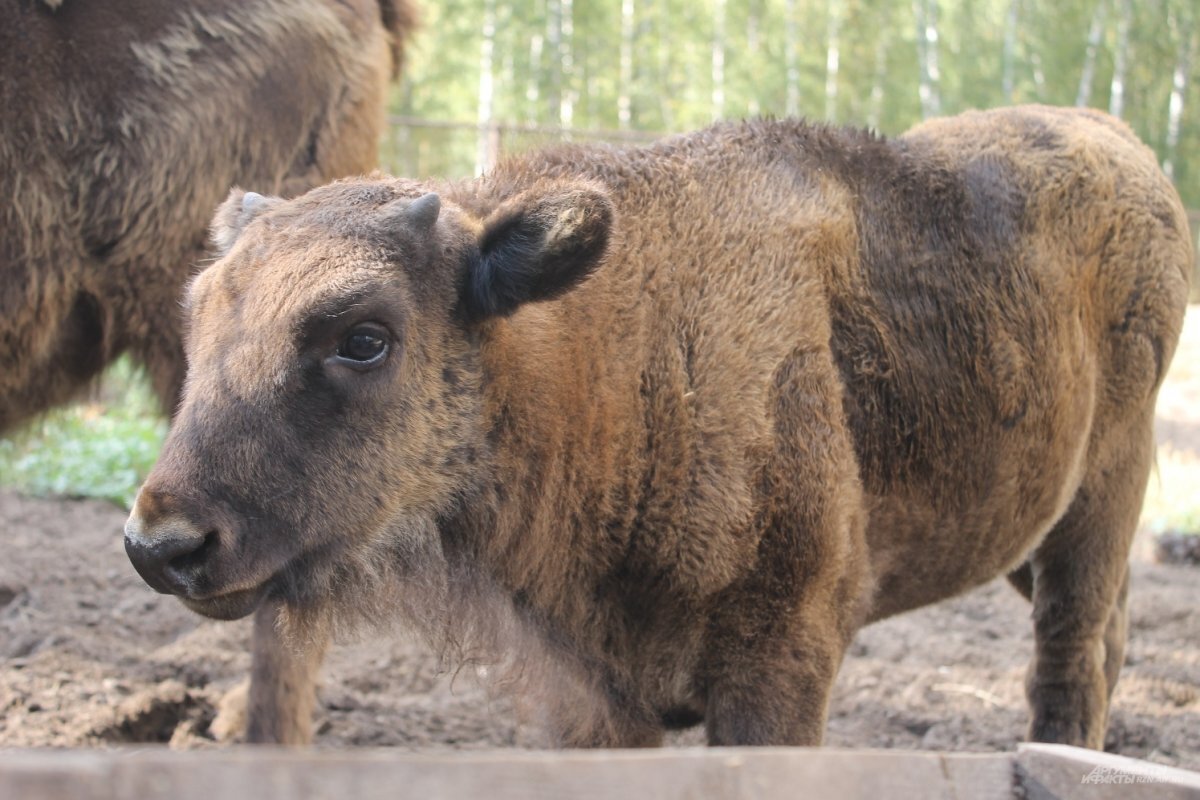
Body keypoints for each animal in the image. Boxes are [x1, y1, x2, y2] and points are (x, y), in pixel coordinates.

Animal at [121, 107, 1190, 753]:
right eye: (199, 314)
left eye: (365, 337)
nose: (162, 542)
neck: (621, 352)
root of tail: (1124, 146)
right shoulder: (591, 695)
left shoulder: (779, 667)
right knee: (1109, 636)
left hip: (1104, 500)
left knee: (1070, 655)